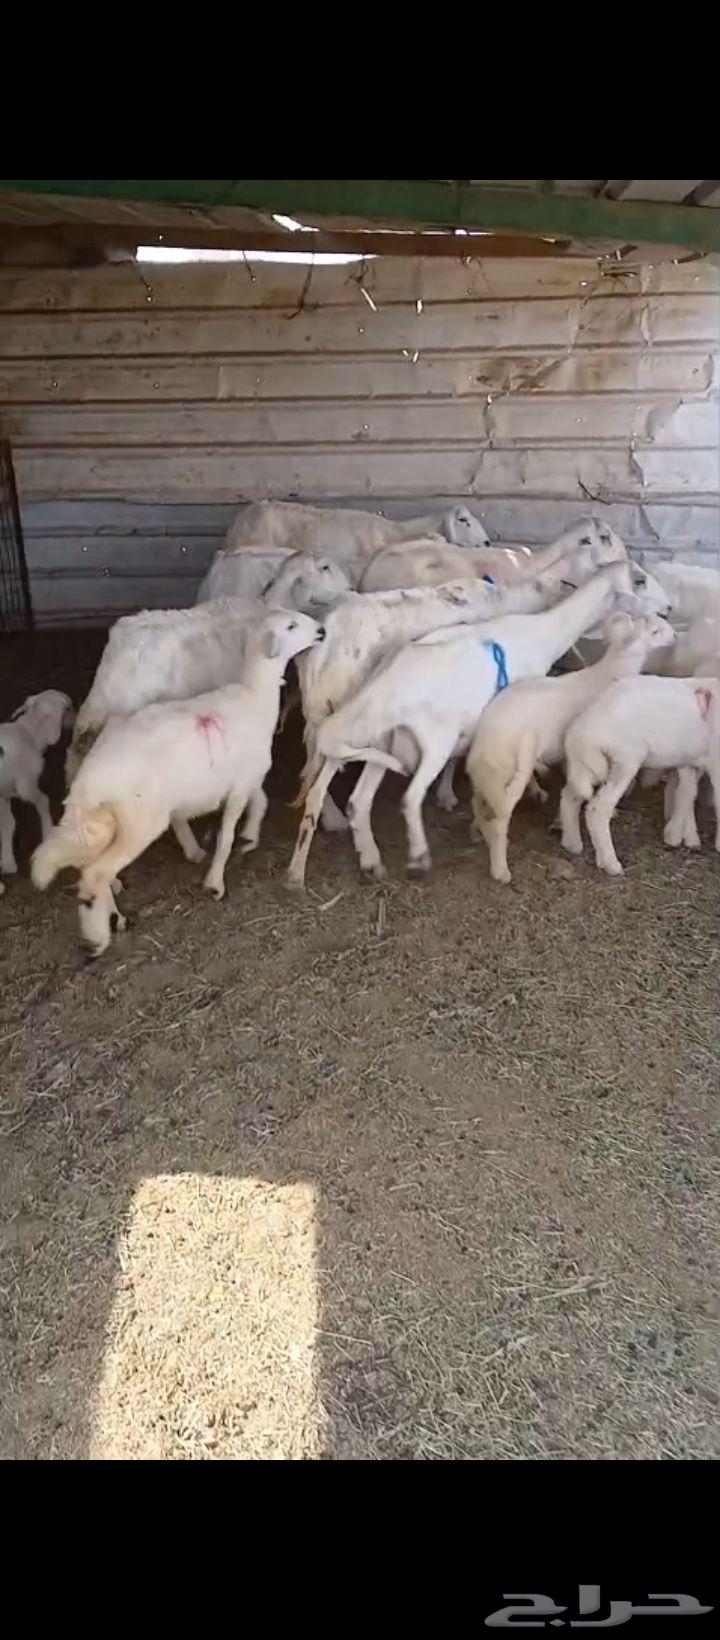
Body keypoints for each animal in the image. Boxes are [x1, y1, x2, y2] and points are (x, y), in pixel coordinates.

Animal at [0, 691, 74, 885]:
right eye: (68, 708)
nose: (75, 718)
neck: (29, 733)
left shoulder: (4, 790)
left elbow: (8, 823)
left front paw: (8, 863)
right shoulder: (26, 784)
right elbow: (43, 801)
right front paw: (48, 832)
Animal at [32, 611, 324, 958]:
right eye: (291, 626)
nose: (321, 630)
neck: (254, 696)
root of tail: (89, 783)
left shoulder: (247, 775)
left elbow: (261, 802)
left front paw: (249, 836)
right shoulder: (239, 784)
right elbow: (226, 835)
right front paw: (215, 881)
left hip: (103, 825)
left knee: (91, 868)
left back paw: (113, 917)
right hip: (140, 822)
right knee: (96, 873)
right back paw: (97, 936)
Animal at [466, 613, 675, 883]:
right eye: (655, 631)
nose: (675, 636)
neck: (610, 673)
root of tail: (487, 737)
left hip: (490, 776)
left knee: (479, 804)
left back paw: (479, 831)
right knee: (500, 819)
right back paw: (500, 869)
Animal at [560, 675, 720, 875]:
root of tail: (578, 735)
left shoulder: (690, 761)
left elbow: (687, 794)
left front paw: (680, 836)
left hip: (587, 768)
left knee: (569, 796)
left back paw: (572, 843)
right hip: (624, 761)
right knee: (597, 810)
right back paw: (611, 864)